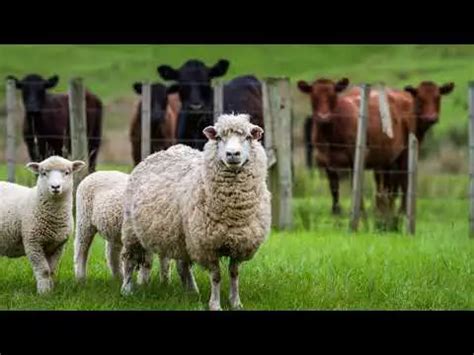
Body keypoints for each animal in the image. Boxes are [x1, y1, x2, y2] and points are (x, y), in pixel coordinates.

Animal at [0, 156, 85, 294]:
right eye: (43, 173)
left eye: (67, 172)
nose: (55, 187)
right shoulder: (33, 242)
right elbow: (44, 271)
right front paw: (43, 293)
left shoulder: (58, 245)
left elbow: (52, 270)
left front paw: (50, 291)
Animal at [120, 114, 272, 312]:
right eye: (219, 138)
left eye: (247, 137)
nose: (232, 154)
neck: (233, 212)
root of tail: (159, 152)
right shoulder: (207, 244)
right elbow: (216, 276)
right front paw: (215, 304)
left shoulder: (239, 243)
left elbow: (234, 274)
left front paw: (236, 302)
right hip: (132, 230)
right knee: (129, 260)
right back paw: (126, 290)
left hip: (182, 235)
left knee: (183, 265)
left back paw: (192, 291)